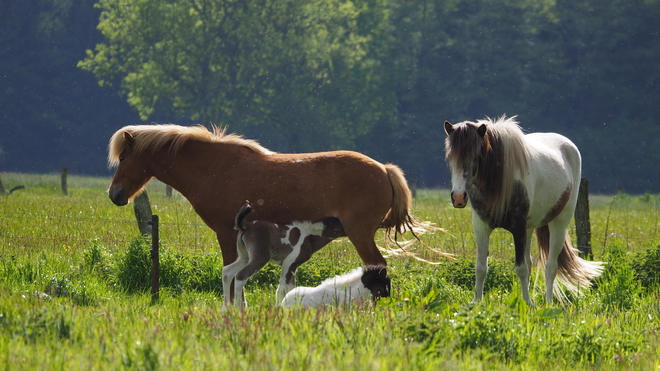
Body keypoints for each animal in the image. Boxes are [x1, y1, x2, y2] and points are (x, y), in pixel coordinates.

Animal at [104, 123, 434, 304]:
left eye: (124, 157)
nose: (114, 194)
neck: (213, 167)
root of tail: (384, 169)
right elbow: (235, 274)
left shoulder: (227, 234)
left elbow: (232, 276)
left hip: (360, 234)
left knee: (377, 266)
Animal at [444, 116, 604, 306]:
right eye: (450, 156)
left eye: (476, 156)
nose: (458, 197)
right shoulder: (482, 227)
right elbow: (481, 267)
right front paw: (477, 302)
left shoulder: (518, 228)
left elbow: (521, 268)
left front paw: (527, 303)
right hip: (529, 228)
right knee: (531, 263)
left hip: (559, 223)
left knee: (550, 266)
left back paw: (548, 302)